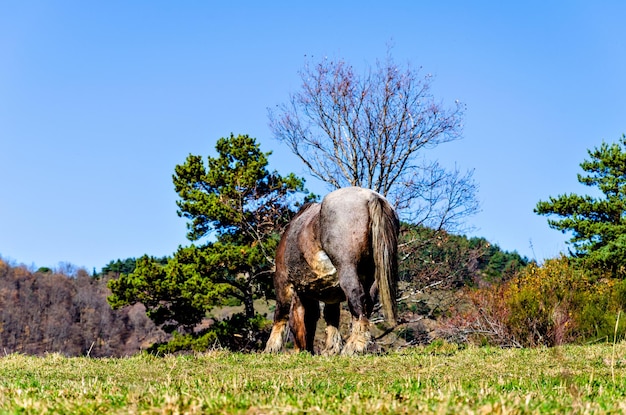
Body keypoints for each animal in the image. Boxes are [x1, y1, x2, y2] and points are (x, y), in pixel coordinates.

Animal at [262, 187, 398, 356]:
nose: (304, 350)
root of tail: (371, 197)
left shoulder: (283, 282)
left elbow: (281, 314)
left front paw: (271, 348)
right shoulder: (328, 293)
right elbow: (330, 317)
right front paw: (331, 349)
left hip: (348, 269)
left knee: (357, 297)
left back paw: (354, 345)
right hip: (372, 279)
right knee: (368, 302)